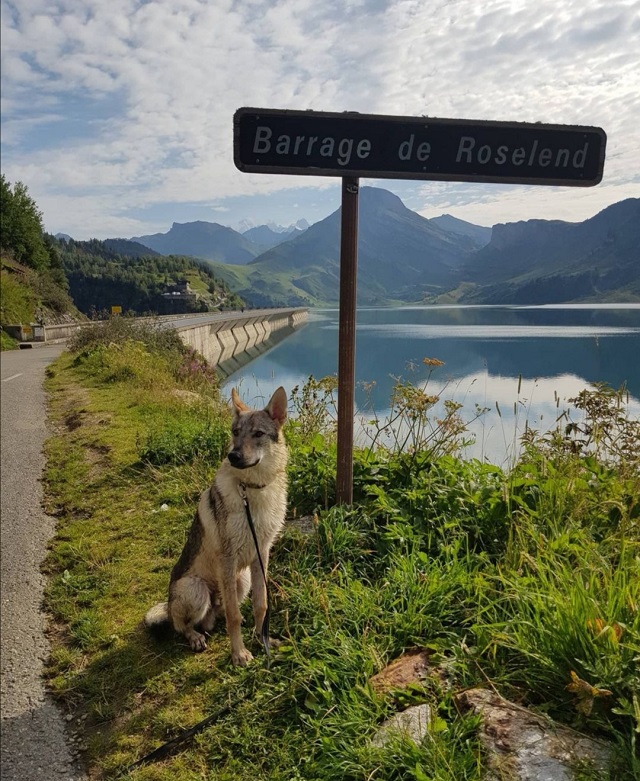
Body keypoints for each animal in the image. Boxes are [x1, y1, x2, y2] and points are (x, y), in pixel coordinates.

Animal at [145, 386, 288, 664]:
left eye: (258, 433)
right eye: (235, 432)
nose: (233, 455)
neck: (251, 491)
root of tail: (168, 604)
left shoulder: (261, 555)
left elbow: (261, 604)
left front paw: (262, 638)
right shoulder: (228, 558)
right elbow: (234, 617)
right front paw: (239, 653)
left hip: (241, 579)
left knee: (221, 611)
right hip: (196, 588)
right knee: (183, 625)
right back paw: (195, 637)